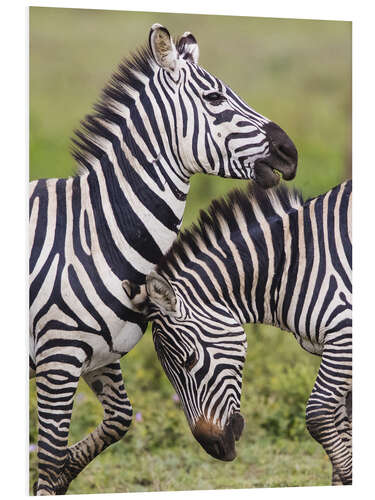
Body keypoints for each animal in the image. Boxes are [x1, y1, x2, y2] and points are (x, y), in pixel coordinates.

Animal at [29, 21, 298, 494]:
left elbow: (116, 422)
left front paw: (63, 475)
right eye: (214, 99)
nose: (291, 152)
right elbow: (50, 455)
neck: (95, 234)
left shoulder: (103, 353)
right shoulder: (57, 356)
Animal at [125, 179, 354, 484]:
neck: (289, 264)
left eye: (190, 360)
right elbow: (344, 422)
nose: (216, 448)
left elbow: (318, 415)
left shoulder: (344, 333)